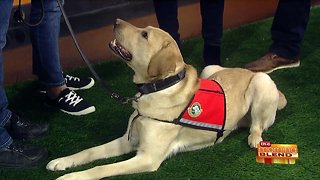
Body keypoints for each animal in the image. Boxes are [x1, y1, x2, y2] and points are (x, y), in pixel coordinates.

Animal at [45, 19, 288, 179]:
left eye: (144, 35)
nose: (115, 21)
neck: (154, 90)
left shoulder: (147, 157)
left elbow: (102, 168)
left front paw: (71, 177)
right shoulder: (128, 140)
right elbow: (90, 151)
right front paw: (62, 162)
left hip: (262, 81)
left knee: (257, 125)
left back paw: (255, 139)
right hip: (210, 69)